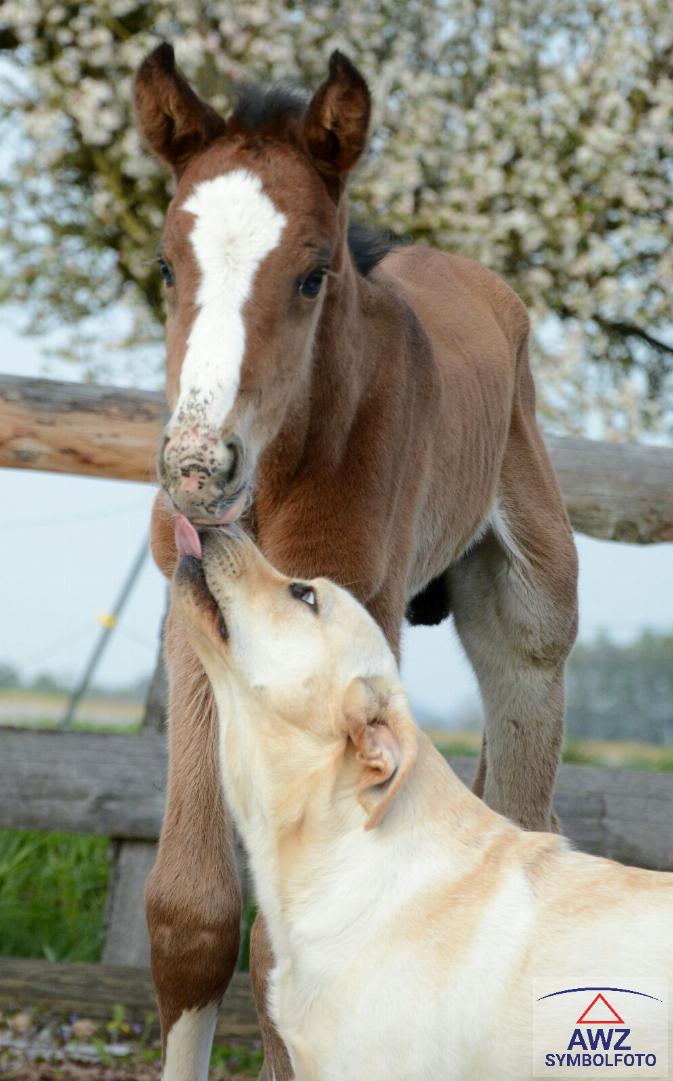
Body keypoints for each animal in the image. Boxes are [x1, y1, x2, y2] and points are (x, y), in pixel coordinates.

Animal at [134, 42, 578, 1081]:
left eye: (312, 275)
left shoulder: (353, 616)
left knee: (528, 815)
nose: (198, 469)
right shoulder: (198, 624)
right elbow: (193, 915)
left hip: (532, 625)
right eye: (167, 264)